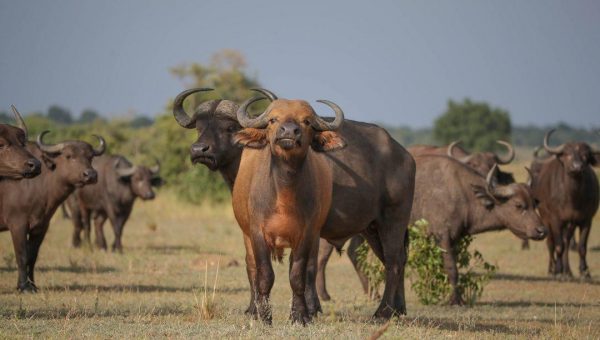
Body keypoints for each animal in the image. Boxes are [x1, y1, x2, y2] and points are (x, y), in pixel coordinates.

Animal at [0, 131, 104, 290]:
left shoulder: (41, 226)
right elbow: (22, 255)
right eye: (69, 156)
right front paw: (23, 287)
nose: (91, 175)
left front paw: (32, 285)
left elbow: (32, 256)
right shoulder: (17, 225)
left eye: (90, 156)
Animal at [172, 88, 418, 322]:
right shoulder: (250, 229)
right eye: (199, 128)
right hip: (372, 227)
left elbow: (307, 268)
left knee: (394, 261)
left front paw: (309, 310)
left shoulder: (312, 230)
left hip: (394, 220)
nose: (199, 150)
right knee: (394, 259)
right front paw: (254, 310)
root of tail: (405, 155)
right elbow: (252, 266)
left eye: (229, 128)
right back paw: (399, 308)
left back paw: (384, 311)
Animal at [532, 129, 596, 278]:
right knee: (551, 243)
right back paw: (552, 269)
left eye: (585, 155)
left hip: (570, 224)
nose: (577, 167)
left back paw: (568, 271)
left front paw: (584, 271)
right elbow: (558, 246)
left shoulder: (586, 220)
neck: (573, 198)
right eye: (567, 154)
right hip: (546, 219)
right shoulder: (555, 220)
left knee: (567, 242)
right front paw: (557, 270)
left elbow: (581, 247)